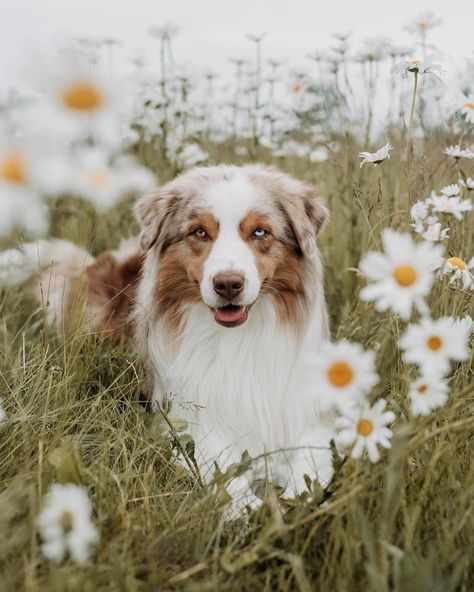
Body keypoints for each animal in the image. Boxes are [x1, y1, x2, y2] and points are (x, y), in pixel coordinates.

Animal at [1, 164, 336, 516]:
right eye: (199, 232)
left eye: (260, 232)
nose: (228, 284)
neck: (238, 338)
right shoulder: (188, 419)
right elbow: (222, 464)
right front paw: (246, 506)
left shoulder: (307, 413)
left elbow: (311, 464)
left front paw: (296, 500)